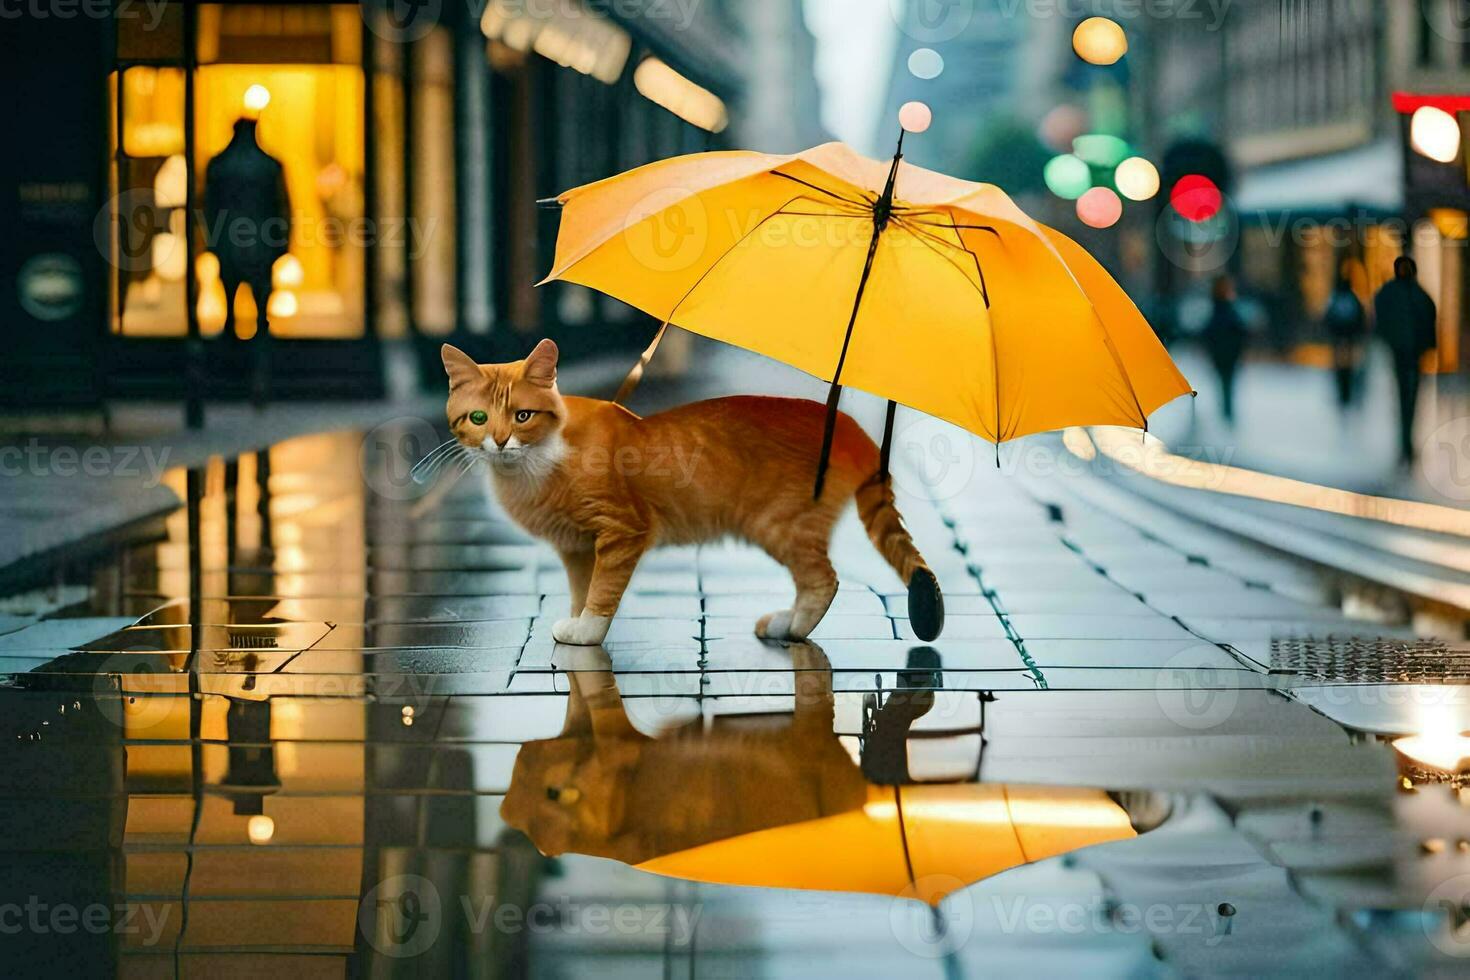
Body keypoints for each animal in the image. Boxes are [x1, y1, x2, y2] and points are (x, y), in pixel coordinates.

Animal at [441, 340, 940, 646]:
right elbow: (582, 587)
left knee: (823, 580)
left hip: (779, 524)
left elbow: (602, 589)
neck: (532, 468)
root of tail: (851, 426)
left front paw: (589, 631)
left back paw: (792, 626)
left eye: (522, 416)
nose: (500, 440)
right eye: (479, 418)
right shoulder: (577, 547)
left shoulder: (622, 531)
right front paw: (578, 620)